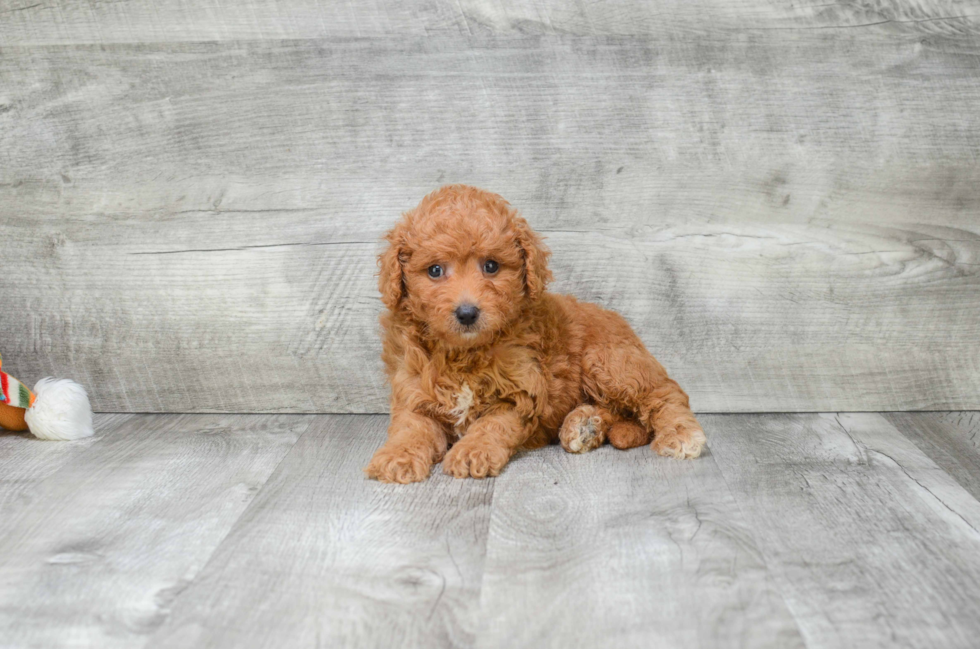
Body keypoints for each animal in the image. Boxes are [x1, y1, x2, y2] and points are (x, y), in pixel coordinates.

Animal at [364, 182, 700, 480]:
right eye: (435, 270)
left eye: (491, 266)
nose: (467, 313)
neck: (465, 354)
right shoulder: (414, 390)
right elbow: (411, 427)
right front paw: (397, 456)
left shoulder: (519, 394)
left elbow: (492, 425)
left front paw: (472, 452)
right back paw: (585, 426)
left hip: (609, 363)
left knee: (665, 392)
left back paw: (681, 434)